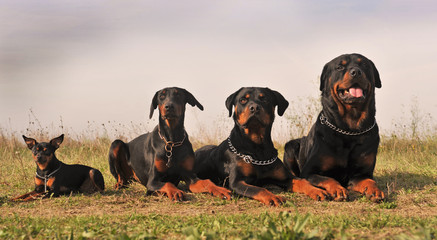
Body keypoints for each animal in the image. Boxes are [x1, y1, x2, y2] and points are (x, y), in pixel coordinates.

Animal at [193, 87, 328, 205]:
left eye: (265, 99)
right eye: (243, 100)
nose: (254, 107)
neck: (258, 148)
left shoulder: (286, 178)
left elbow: (303, 182)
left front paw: (317, 190)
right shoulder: (236, 182)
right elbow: (258, 188)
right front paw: (273, 197)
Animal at [282, 53, 384, 202]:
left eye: (364, 65)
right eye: (340, 67)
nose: (356, 72)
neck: (349, 130)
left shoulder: (362, 173)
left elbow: (369, 180)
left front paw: (375, 190)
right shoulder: (309, 172)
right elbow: (328, 178)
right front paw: (338, 189)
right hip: (291, 146)